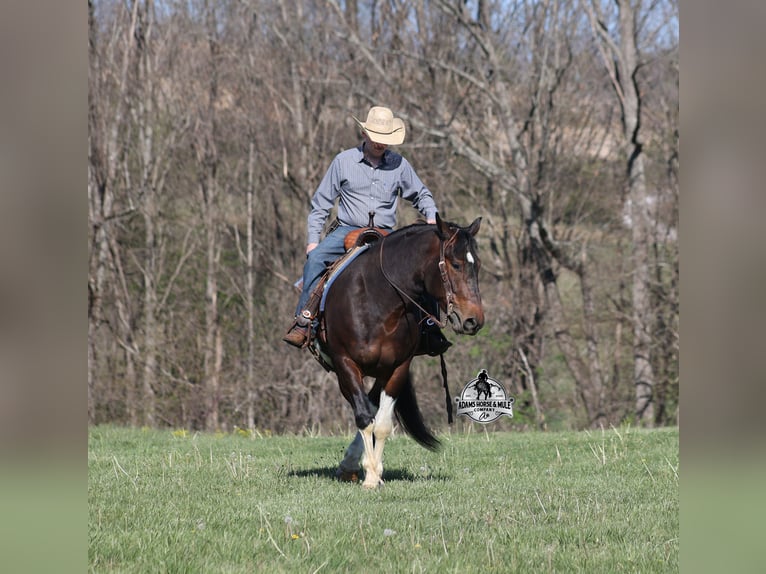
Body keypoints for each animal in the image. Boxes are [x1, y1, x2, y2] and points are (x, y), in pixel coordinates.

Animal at [318, 213, 484, 488]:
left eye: (477, 265)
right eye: (456, 264)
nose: (474, 320)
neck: (377, 303)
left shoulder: (398, 368)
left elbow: (382, 424)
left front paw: (374, 473)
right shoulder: (345, 364)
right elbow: (364, 418)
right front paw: (370, 478)